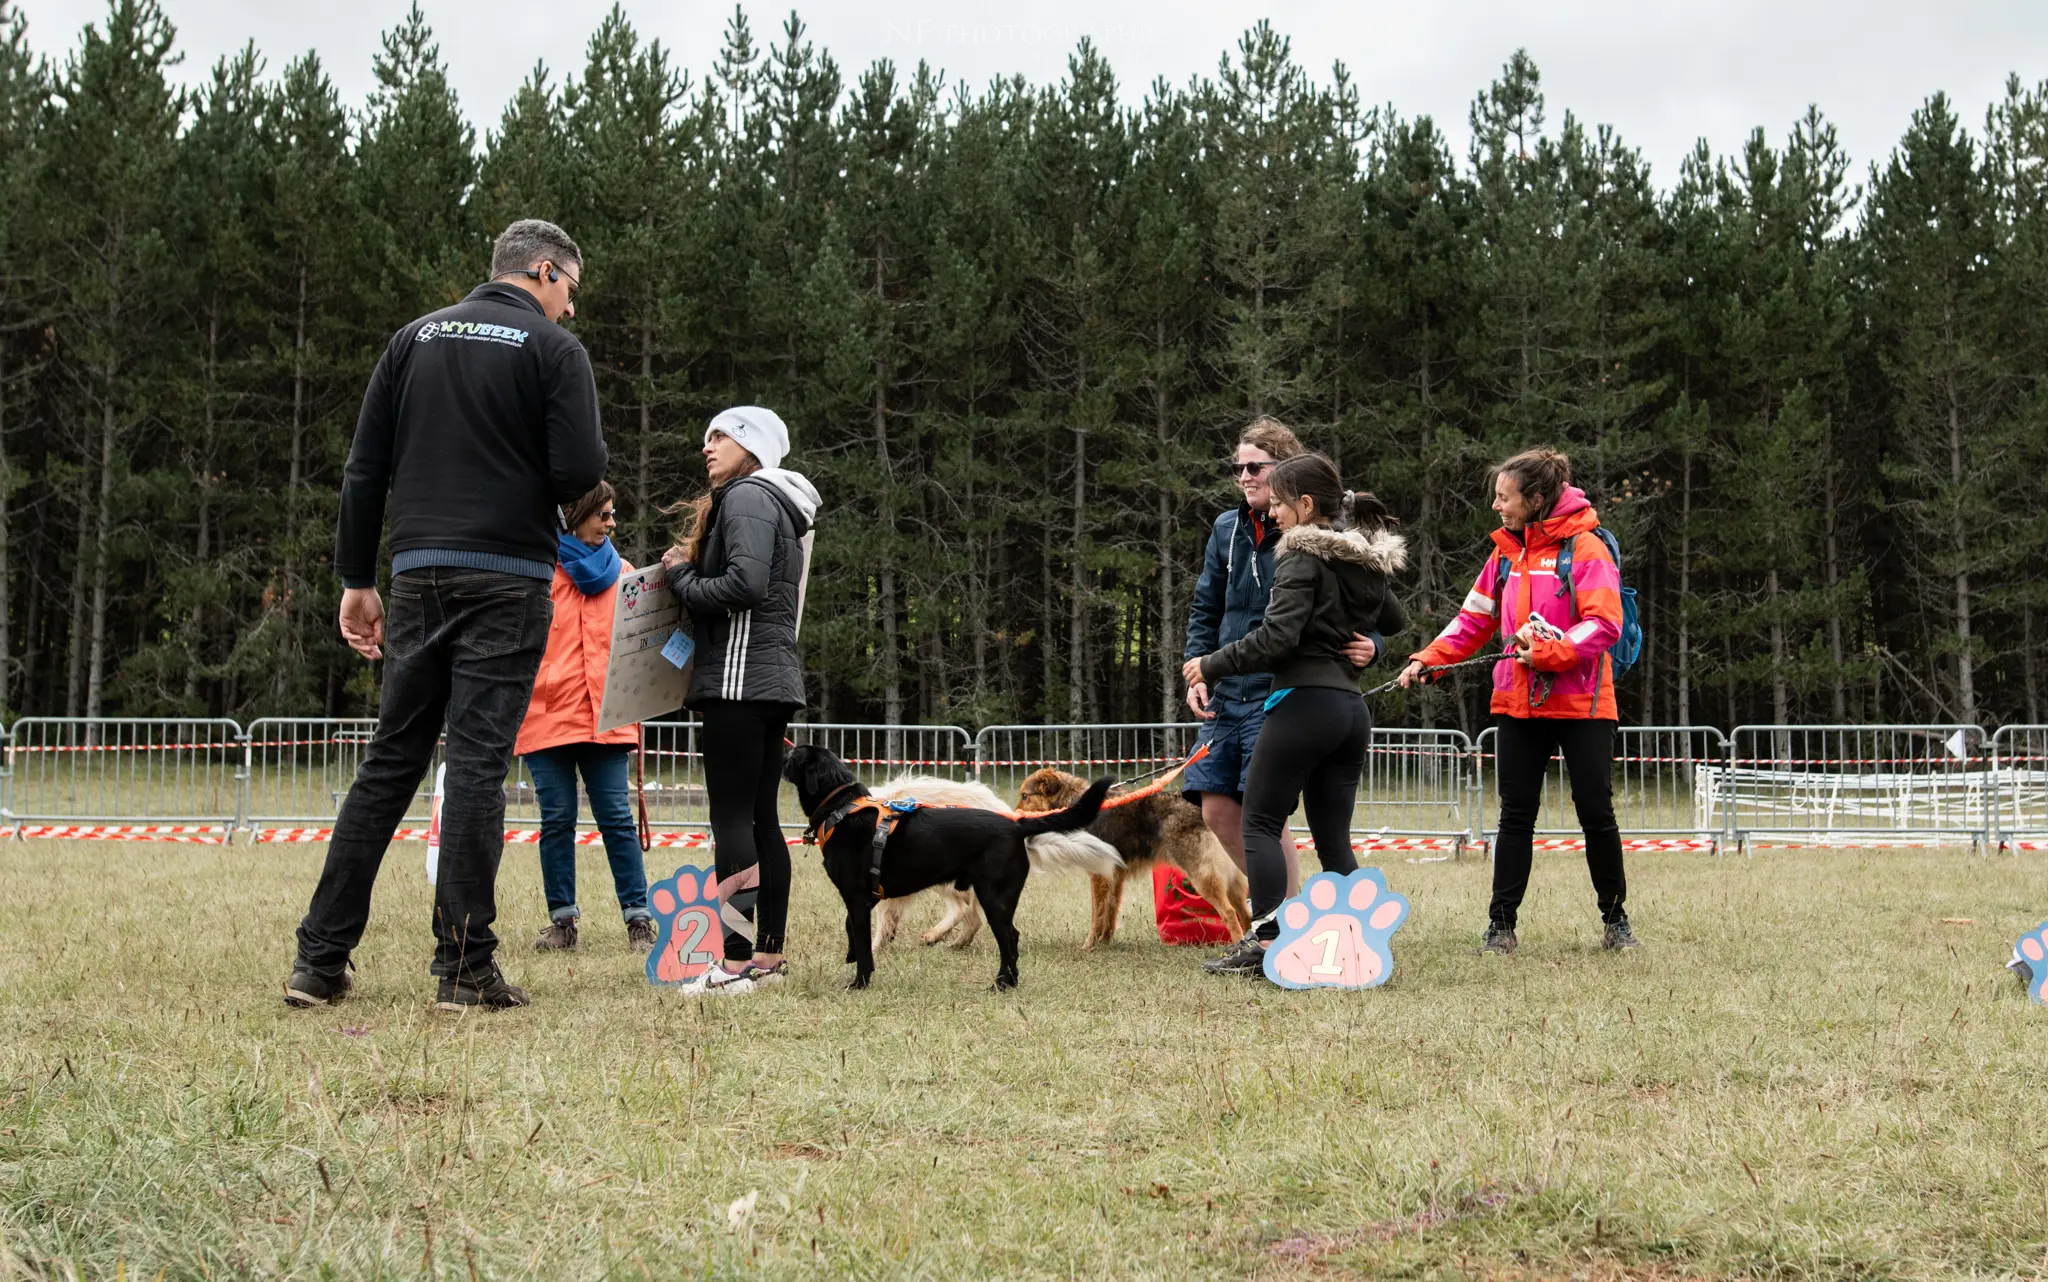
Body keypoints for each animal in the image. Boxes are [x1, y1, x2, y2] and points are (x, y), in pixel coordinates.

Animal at [782, 737, 1114, 987]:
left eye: (794, 755)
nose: (783, 754)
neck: (842, 807)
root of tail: (1017, 823)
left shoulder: (858, 897)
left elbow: (864, 943)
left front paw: (860, 982)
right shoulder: (865, 899)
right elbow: (853, 929)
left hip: (992, 895)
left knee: (1004, 935)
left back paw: (1000, 982)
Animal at [1019, 761, 1253, 942]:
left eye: (1024, 796)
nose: (1014, 817)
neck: (1072, 803)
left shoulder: (1099, 875)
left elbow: (1097, 914)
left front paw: (1089, 945)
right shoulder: (1115, 877)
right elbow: (1109, 912)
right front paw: (1104, 941)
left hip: (1203, 876)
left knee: (1230, 913)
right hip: (1232, 877)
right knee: (1245, 913)